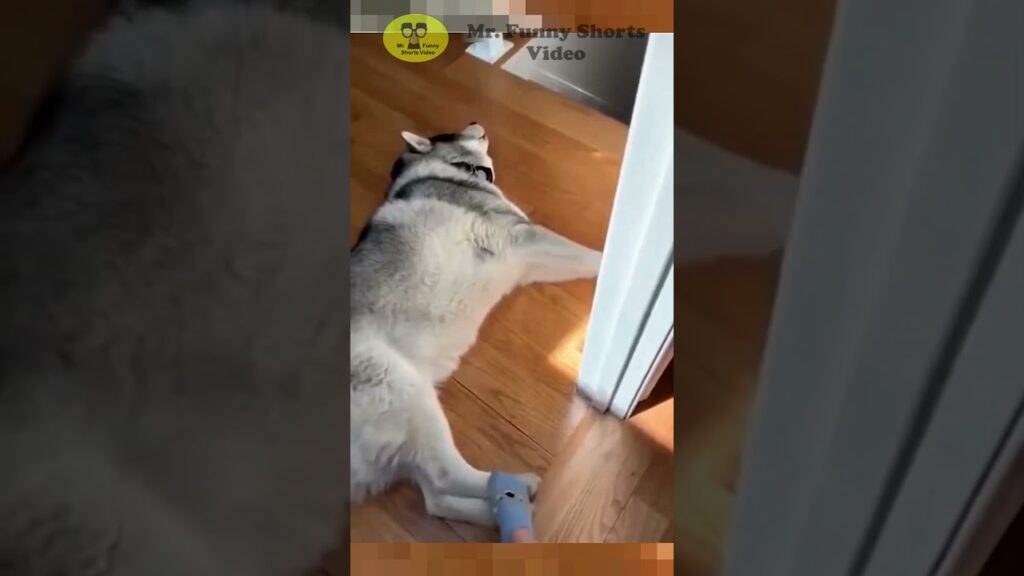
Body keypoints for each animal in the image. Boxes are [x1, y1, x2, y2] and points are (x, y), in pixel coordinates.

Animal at [352, 121, 598, 524]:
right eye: (449, 131)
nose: (475, 121)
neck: (446, 168)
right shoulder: (525, 237)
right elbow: (590, 255)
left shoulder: (527, 263)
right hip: (403, 388)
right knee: (445, 476)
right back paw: (517, 485)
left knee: (436, 498)